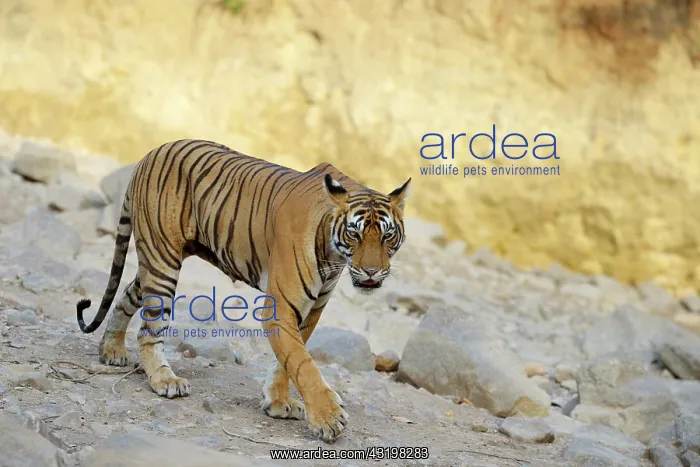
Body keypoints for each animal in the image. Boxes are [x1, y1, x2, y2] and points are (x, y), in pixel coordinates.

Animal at [75, 139, 410, 442]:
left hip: (159, 260)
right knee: (149, 329)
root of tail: (151, 152)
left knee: (127, 296)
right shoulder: (281, 306)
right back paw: (164, 380)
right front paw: (328, 418)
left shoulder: (313, 308)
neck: (334, 253)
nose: (371, 271)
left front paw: (277, 403)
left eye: (387, 236)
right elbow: (302, 363)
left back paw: (111, 350)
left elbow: (289, 358)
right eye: (354, 234)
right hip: (163, 260)